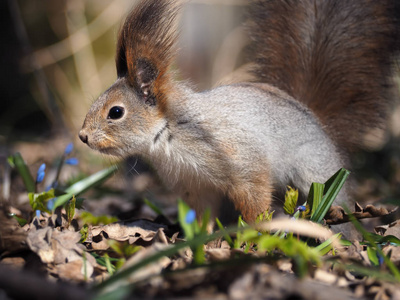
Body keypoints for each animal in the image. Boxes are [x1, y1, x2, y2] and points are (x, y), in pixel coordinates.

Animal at [78, 0, 400, 225]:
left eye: (116, 112)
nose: (82, 137)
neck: (170, 135)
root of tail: (318, 122)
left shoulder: (240, 158)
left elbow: (254, 193)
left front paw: (255, 232)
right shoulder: (195, 187)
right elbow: (203, 216)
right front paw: (201, 239)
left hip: (317, 176)